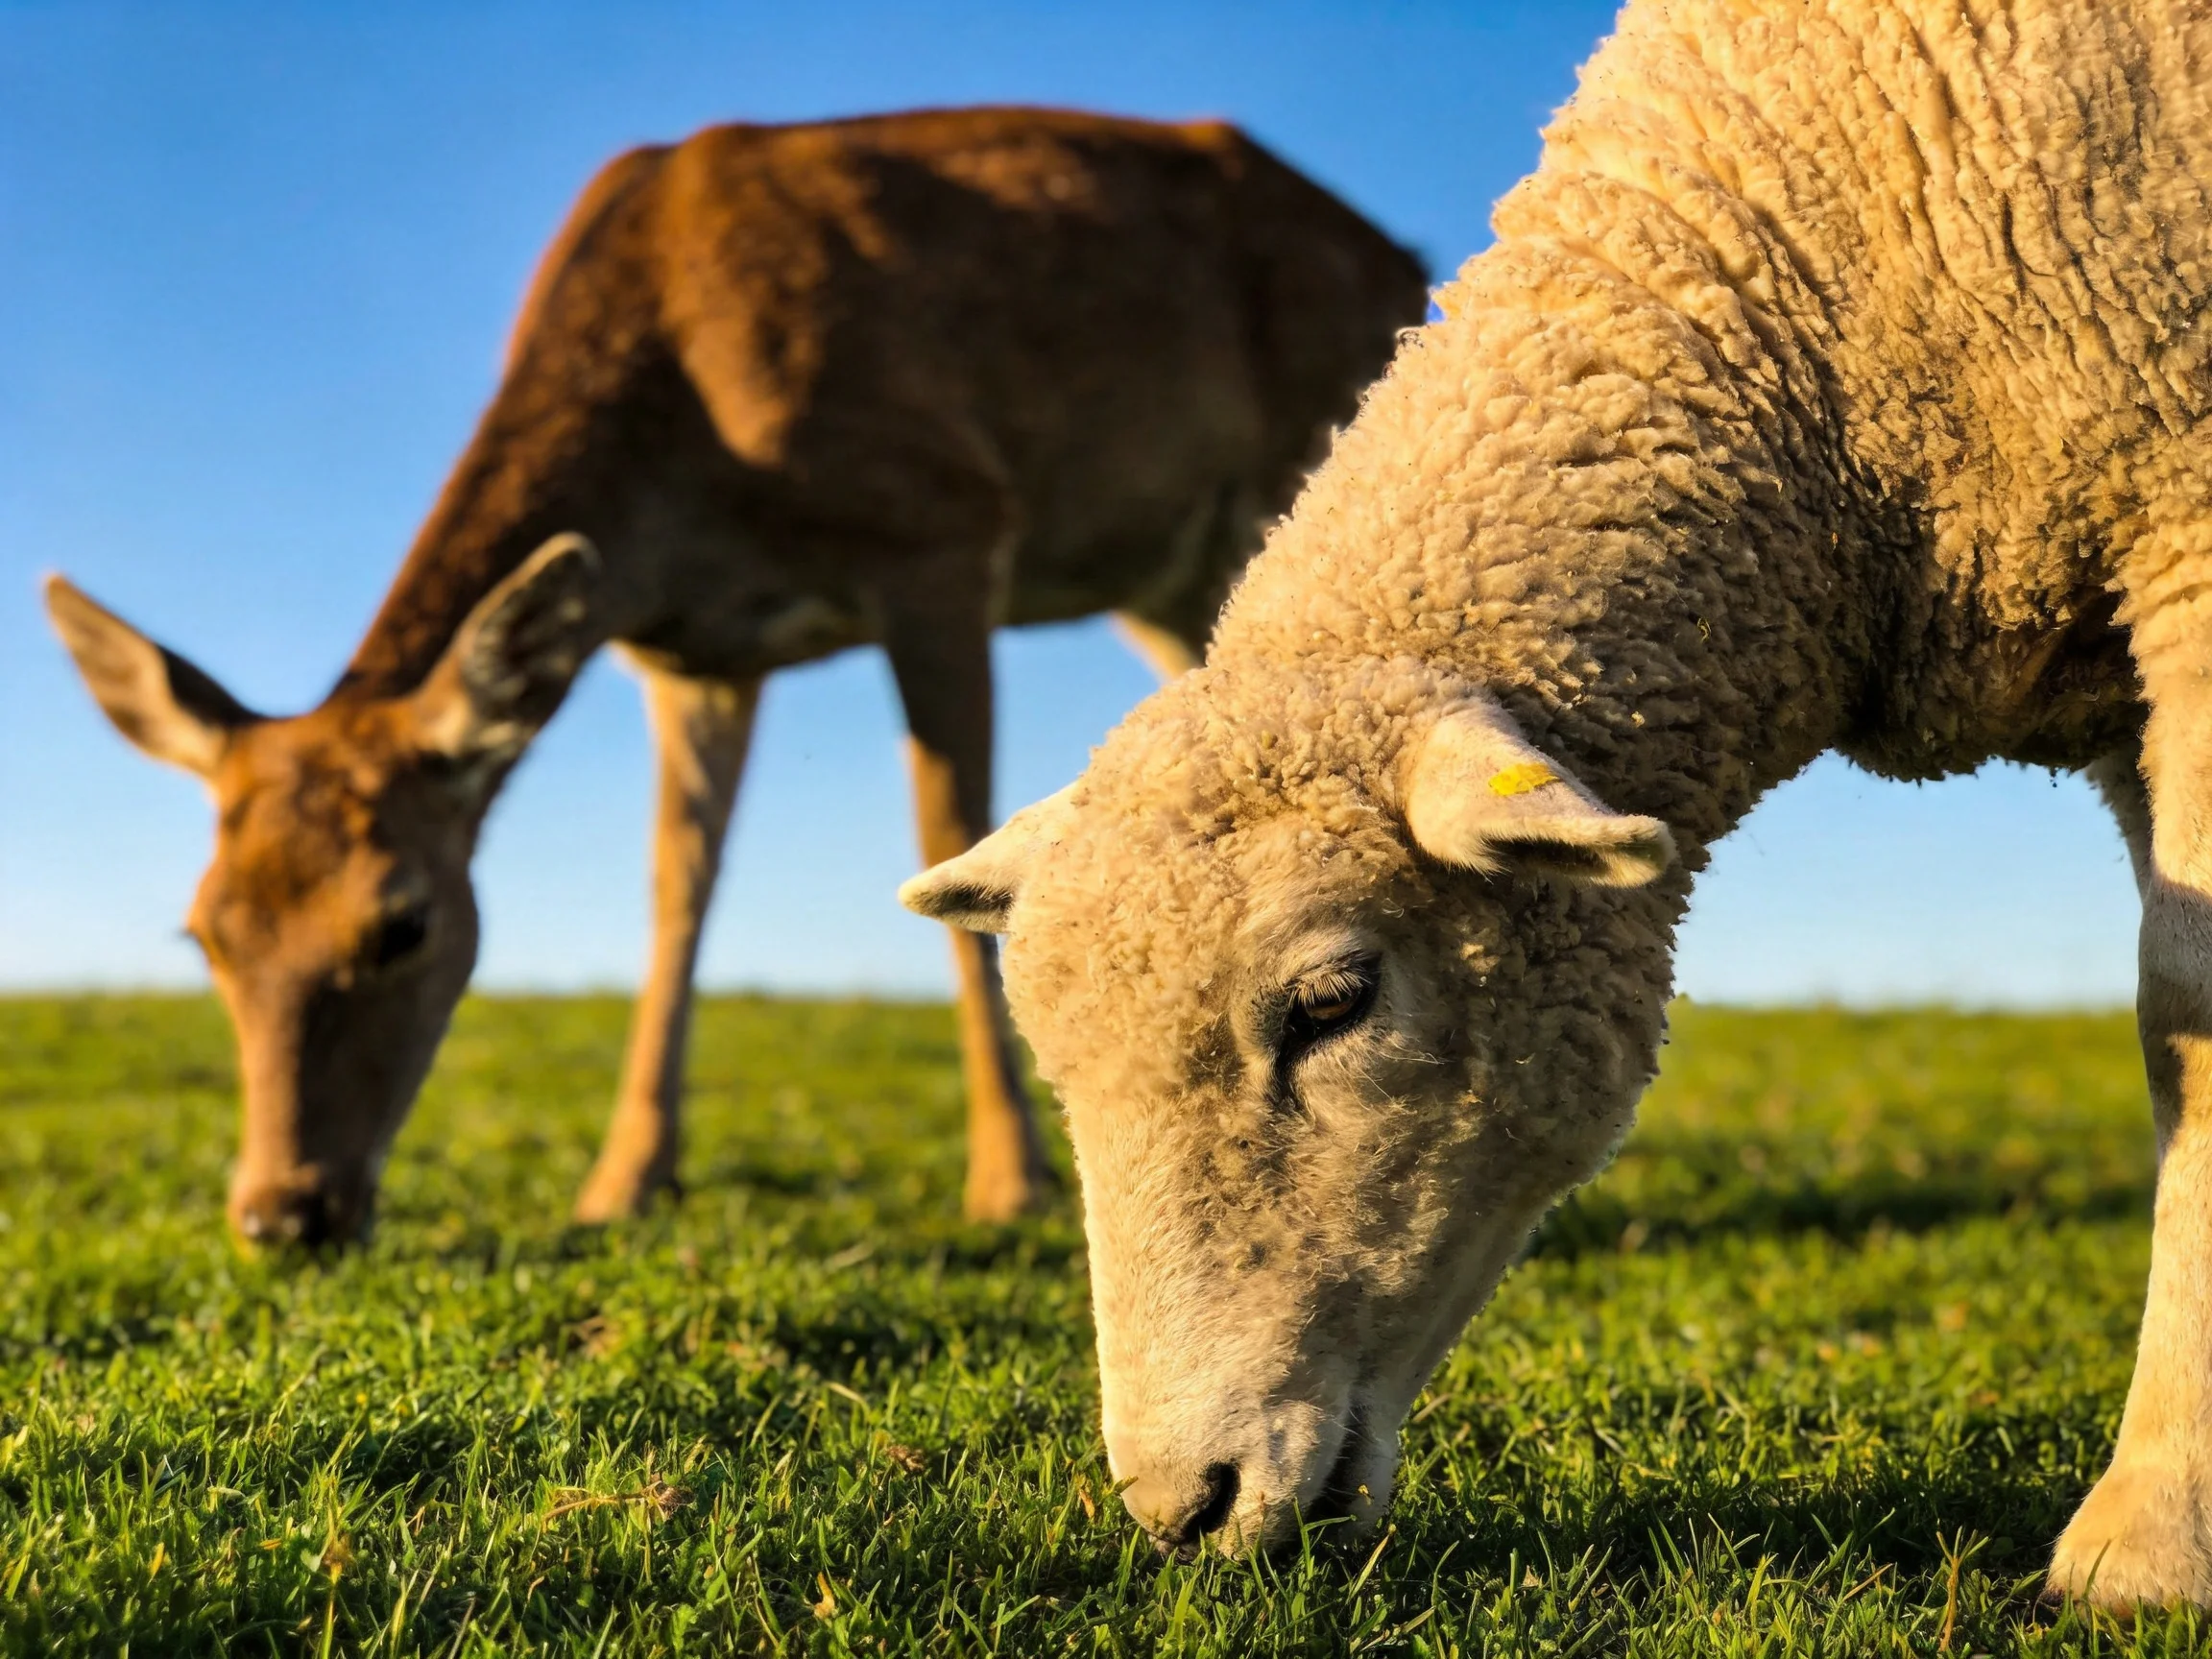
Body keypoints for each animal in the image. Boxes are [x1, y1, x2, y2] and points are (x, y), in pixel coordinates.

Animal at [44, 106, 1427, 1247]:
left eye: (405, 923)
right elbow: (679, 884)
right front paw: (623, 1183)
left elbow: (947, 830)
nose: (282, 1212)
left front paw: (1008, 1184)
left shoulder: (944, 525)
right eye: (204, 931)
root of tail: (1402, 255)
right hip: (1176, 575)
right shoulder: (692, 652)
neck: (684, 457)